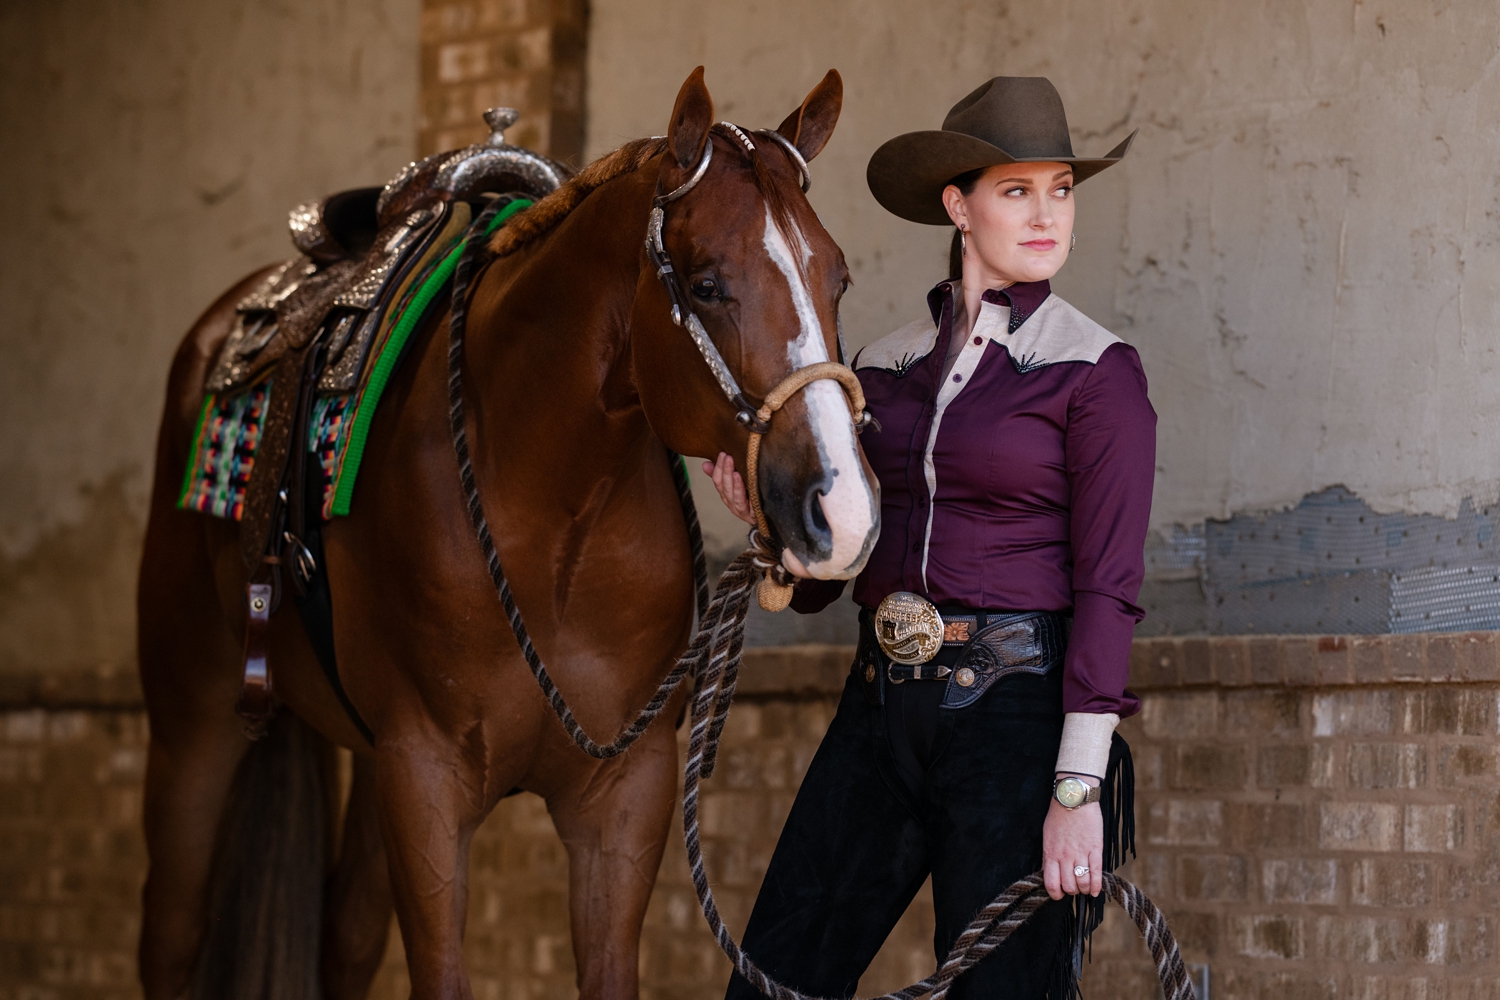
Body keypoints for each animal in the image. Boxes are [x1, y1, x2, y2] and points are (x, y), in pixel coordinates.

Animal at [134, 66, 878, 999]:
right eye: (706, 284)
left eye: (838, 279)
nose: (842, 511)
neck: (552, 519)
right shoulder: (426, 784)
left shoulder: (622, 796)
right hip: (193, 727)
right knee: (173, 939)